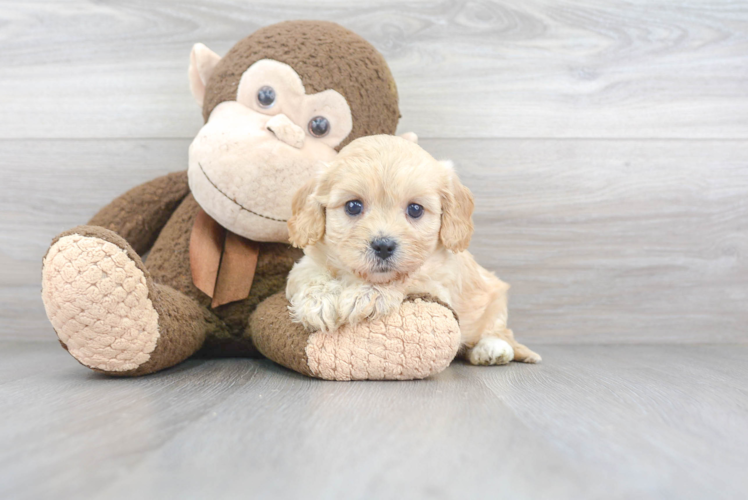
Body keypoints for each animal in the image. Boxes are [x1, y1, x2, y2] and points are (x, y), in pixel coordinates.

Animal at [284, 135, 536, 366]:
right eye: (353, 206)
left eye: (415, 209)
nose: (383, 245)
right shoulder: (306, 265)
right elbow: (310, 276)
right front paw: (319, 302)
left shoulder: (439, 281)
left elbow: (408, 277)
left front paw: (367, 294)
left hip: (496, 301)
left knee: (499, 332)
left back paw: (492, 349)